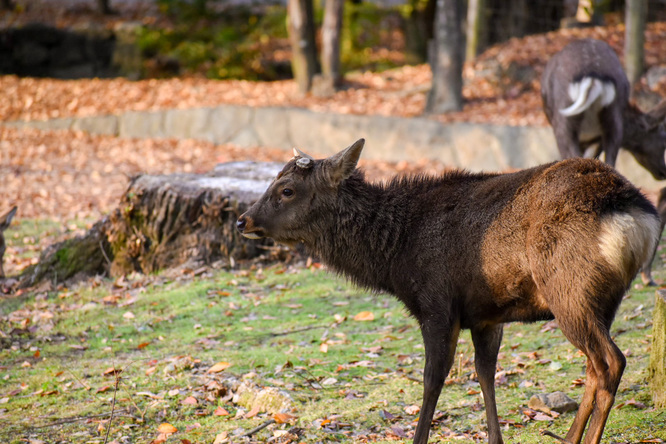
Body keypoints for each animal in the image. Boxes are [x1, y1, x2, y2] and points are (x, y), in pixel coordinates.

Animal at [235, 140, 660, 444]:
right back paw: (569, 438)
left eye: (286, 189)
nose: (243, 220)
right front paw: (494, 438)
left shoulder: (437, 303)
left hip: (569, 291)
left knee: (611, 361)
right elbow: (485, 373)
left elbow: (432, 378)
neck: (396, 259)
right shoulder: (487, 314)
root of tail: (636, 215)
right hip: (602, 300)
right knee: (594, 367)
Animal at [540, 38, 664, 180]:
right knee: (609, 161)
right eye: (664, 140)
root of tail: (594, 77)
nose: (663, 172)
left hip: (565, 120)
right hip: (612, 116)